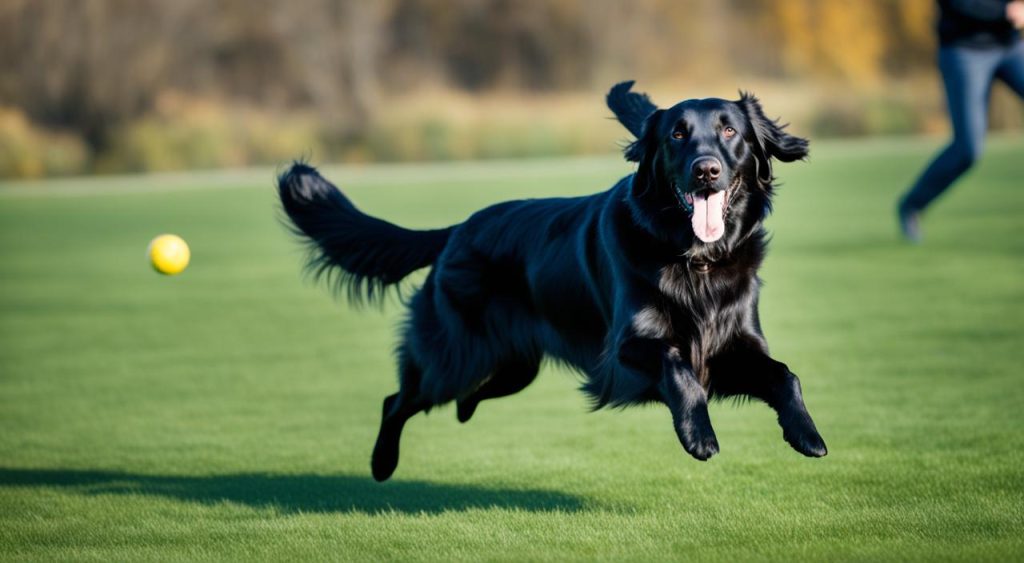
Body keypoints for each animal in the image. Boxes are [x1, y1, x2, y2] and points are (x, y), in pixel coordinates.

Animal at [276, 81, 827, 483]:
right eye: (677, 135)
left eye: (730, 131)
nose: (706, 171)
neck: (696, 261)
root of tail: (456, 229)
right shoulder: (627, 349)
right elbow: (679, 368)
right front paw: (699, 437)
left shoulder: (734, 346)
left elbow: (785, 375)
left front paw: (808, 435)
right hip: (454, 357)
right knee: (400, 399)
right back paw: (381, 463)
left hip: (513, 365)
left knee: (462, 399)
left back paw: (458, 416)